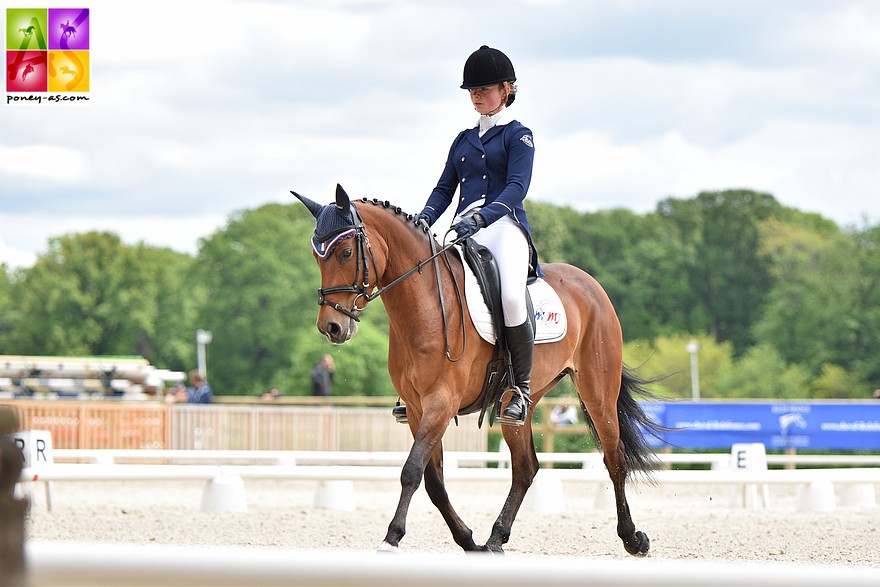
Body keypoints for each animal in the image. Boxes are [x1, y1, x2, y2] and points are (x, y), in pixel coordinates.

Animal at [292, 185, 664, 556]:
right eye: (316, 256)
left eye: (344, 252)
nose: (332, 327)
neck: (425, 305)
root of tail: (590, 283)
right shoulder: (416, 408)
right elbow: (434, 481)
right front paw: (467, 539)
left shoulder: (441, 403)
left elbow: (412, 470)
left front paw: (392, 537)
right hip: (518, 401)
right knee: (525, 467)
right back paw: (495, 538)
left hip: (598, 391)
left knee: (614, 457)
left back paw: (633, 538)